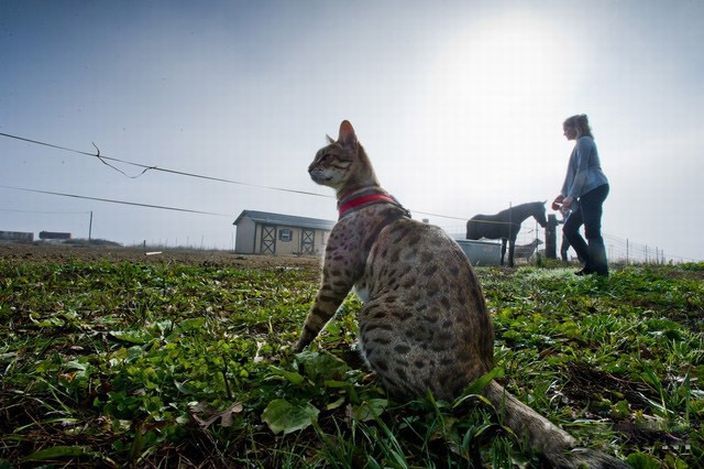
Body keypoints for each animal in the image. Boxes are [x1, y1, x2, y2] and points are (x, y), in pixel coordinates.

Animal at [294, 120, 624, 468]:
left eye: (324, 156)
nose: (309, 167)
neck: (362, 195)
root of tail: (482, 370)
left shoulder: (334, 279)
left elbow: (312, 323)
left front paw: (292, 354)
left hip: (373, 315)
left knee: (414, 398)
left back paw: (365, 381)